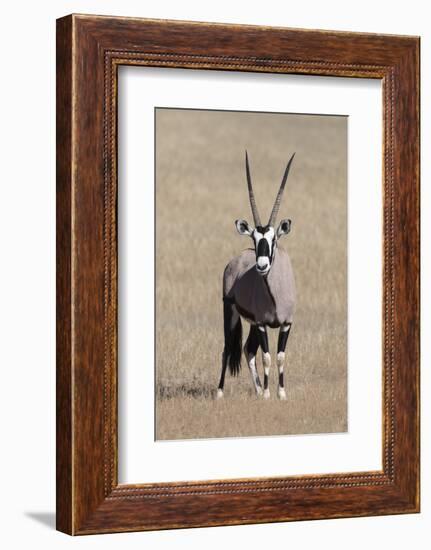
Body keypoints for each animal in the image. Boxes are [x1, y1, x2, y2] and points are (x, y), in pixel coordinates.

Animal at [218, 153, 296, 404]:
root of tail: (236, 259)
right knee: (228, 348)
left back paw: (258, 388)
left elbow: (279, 356)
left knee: (247, 349)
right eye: (254, 238)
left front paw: (280, 393)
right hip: (230, 312)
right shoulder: (262, 324)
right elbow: (267, 357)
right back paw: (219, 392)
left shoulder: (286, 323)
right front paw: (269, 394)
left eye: (274, 239)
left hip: (250, 322)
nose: (261, 266)